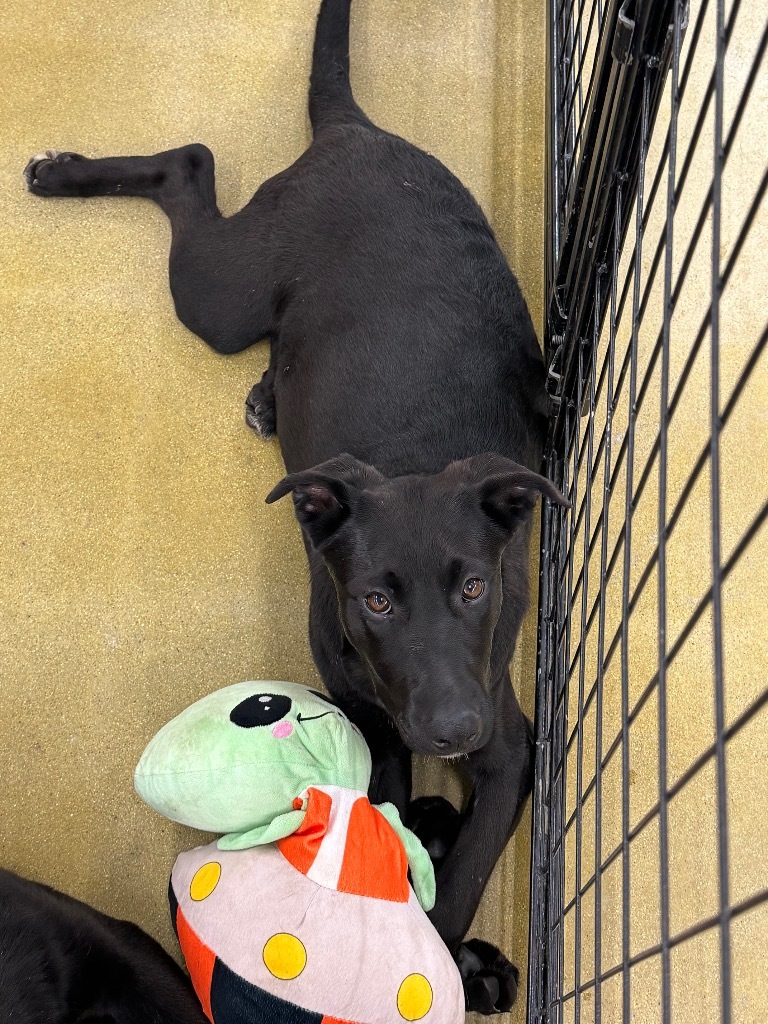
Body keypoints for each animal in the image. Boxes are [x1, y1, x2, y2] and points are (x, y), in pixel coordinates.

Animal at [24, 0, 569, 1007]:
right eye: (376, 601)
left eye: (477, 589)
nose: (452, 729)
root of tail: (355, 129)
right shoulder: (368, 702)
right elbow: (387, 807)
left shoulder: (509, 737)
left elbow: (466, 868)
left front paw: (450, 947)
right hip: (222, 298)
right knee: (191, 164)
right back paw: (61, 173)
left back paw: (268, 394)